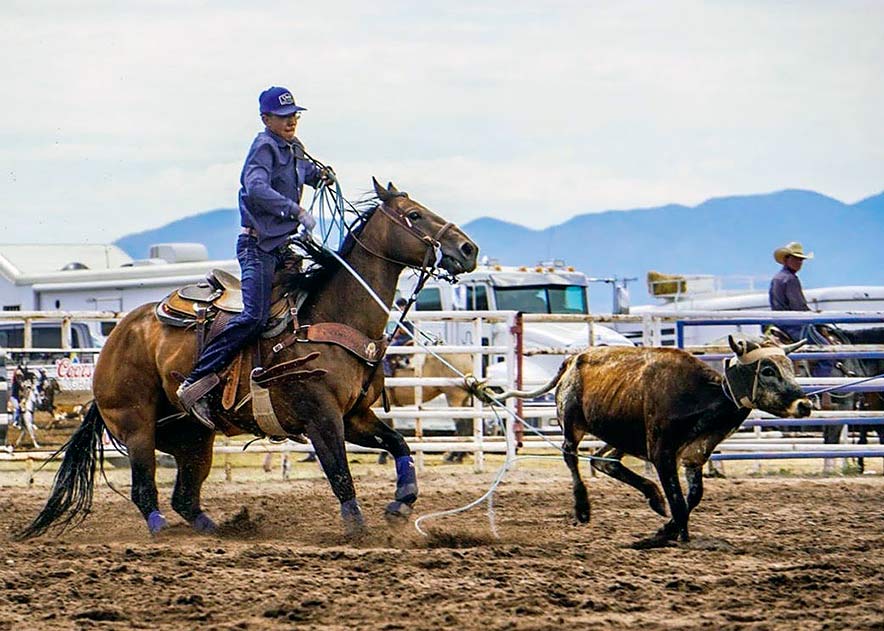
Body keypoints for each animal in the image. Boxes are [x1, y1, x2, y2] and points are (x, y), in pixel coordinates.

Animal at [20, 180, 476, 540]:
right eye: (414, 215)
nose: (468, 248)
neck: (329, 318)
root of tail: (117, 336)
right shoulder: (322, 418)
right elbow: (340, 474)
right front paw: (358, 531)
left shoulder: (355, 417)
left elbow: (398, 442)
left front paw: (402, 503)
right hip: (136, 427)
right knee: (145, 491)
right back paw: (164, 533)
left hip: (191, 437)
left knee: (184, 497)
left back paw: (218, 531)